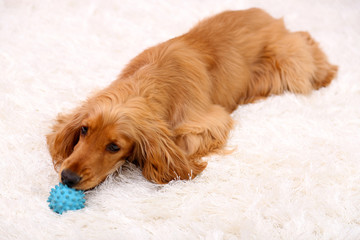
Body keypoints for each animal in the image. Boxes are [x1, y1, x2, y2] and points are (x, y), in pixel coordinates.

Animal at [46, 8, 336, 189]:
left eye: (114, 146)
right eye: (84, 130)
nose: (67, 177)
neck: (150, 81)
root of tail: (271, 17)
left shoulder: (209, 122)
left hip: (290, 64)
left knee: (304, 44)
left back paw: (326, 71)